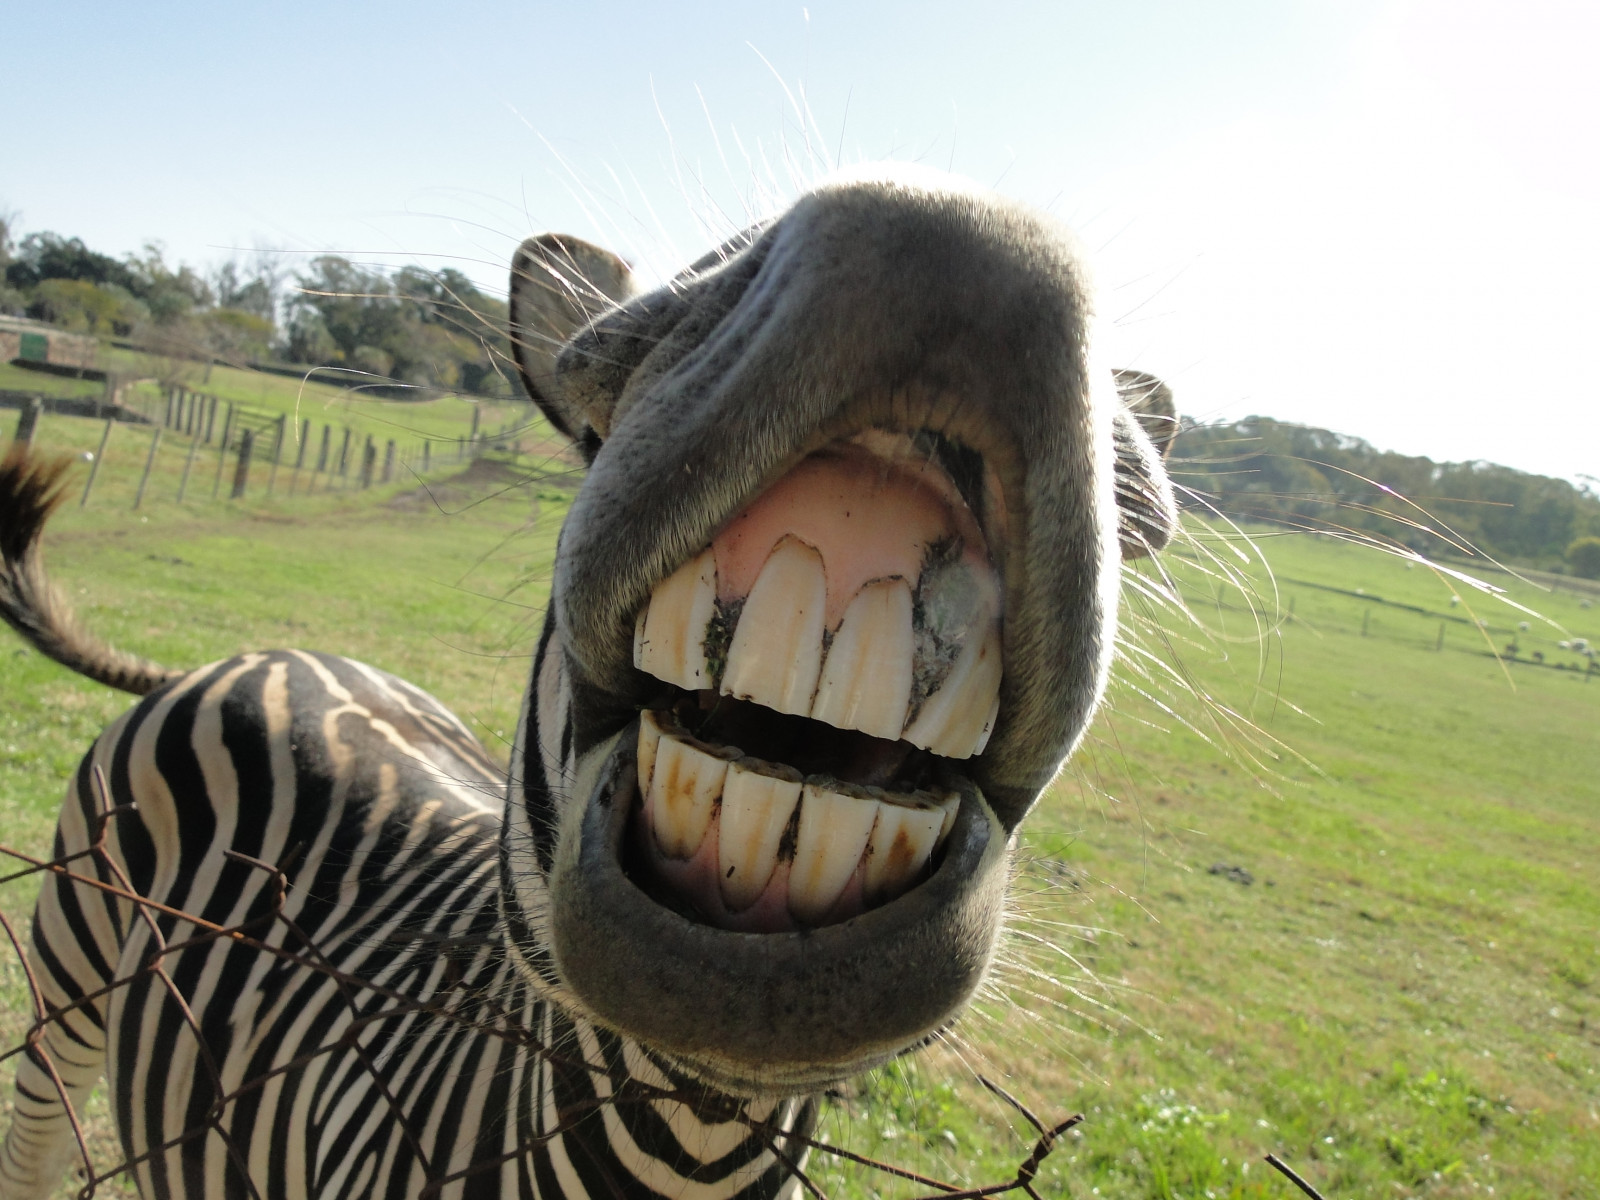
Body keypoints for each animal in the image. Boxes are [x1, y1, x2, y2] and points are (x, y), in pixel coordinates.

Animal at [0, 166, 1178, 1199]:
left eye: (1132, 533)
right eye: (589, 438)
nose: (959, 247)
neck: (693, 1147)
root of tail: (265, 657)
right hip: (68, 978)